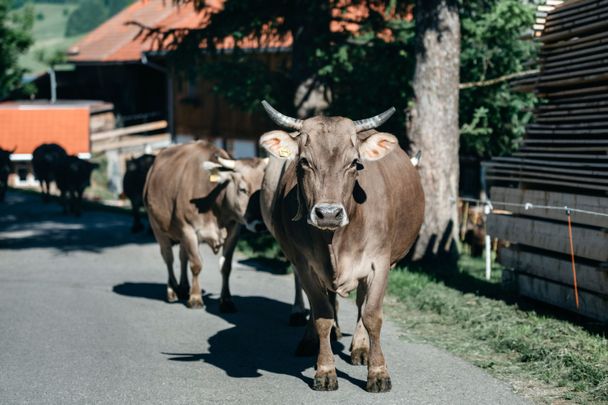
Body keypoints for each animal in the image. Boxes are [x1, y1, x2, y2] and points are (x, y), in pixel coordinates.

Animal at [144, 140, 268, 310]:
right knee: (168, 258)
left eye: (263, 190)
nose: (260, 224)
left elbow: (225, 267)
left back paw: (184, 288)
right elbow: (196, 264)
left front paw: (226, 300)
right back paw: (172, 290)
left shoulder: (234, 232)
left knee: (182, 257)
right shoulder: (188, 230)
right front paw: (196, 298)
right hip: (157, 227)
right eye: (242, 189)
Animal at [258, 101, 426, 392]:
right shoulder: (306, 265)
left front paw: (378, 372)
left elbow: (371, 315)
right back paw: (310, 342)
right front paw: (325, 370)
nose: (328, 214)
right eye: (304, 161)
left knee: (360, 303)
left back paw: (360, 348)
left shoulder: (379, 264)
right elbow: (322, 314)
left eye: (355, 163)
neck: (335, 241)